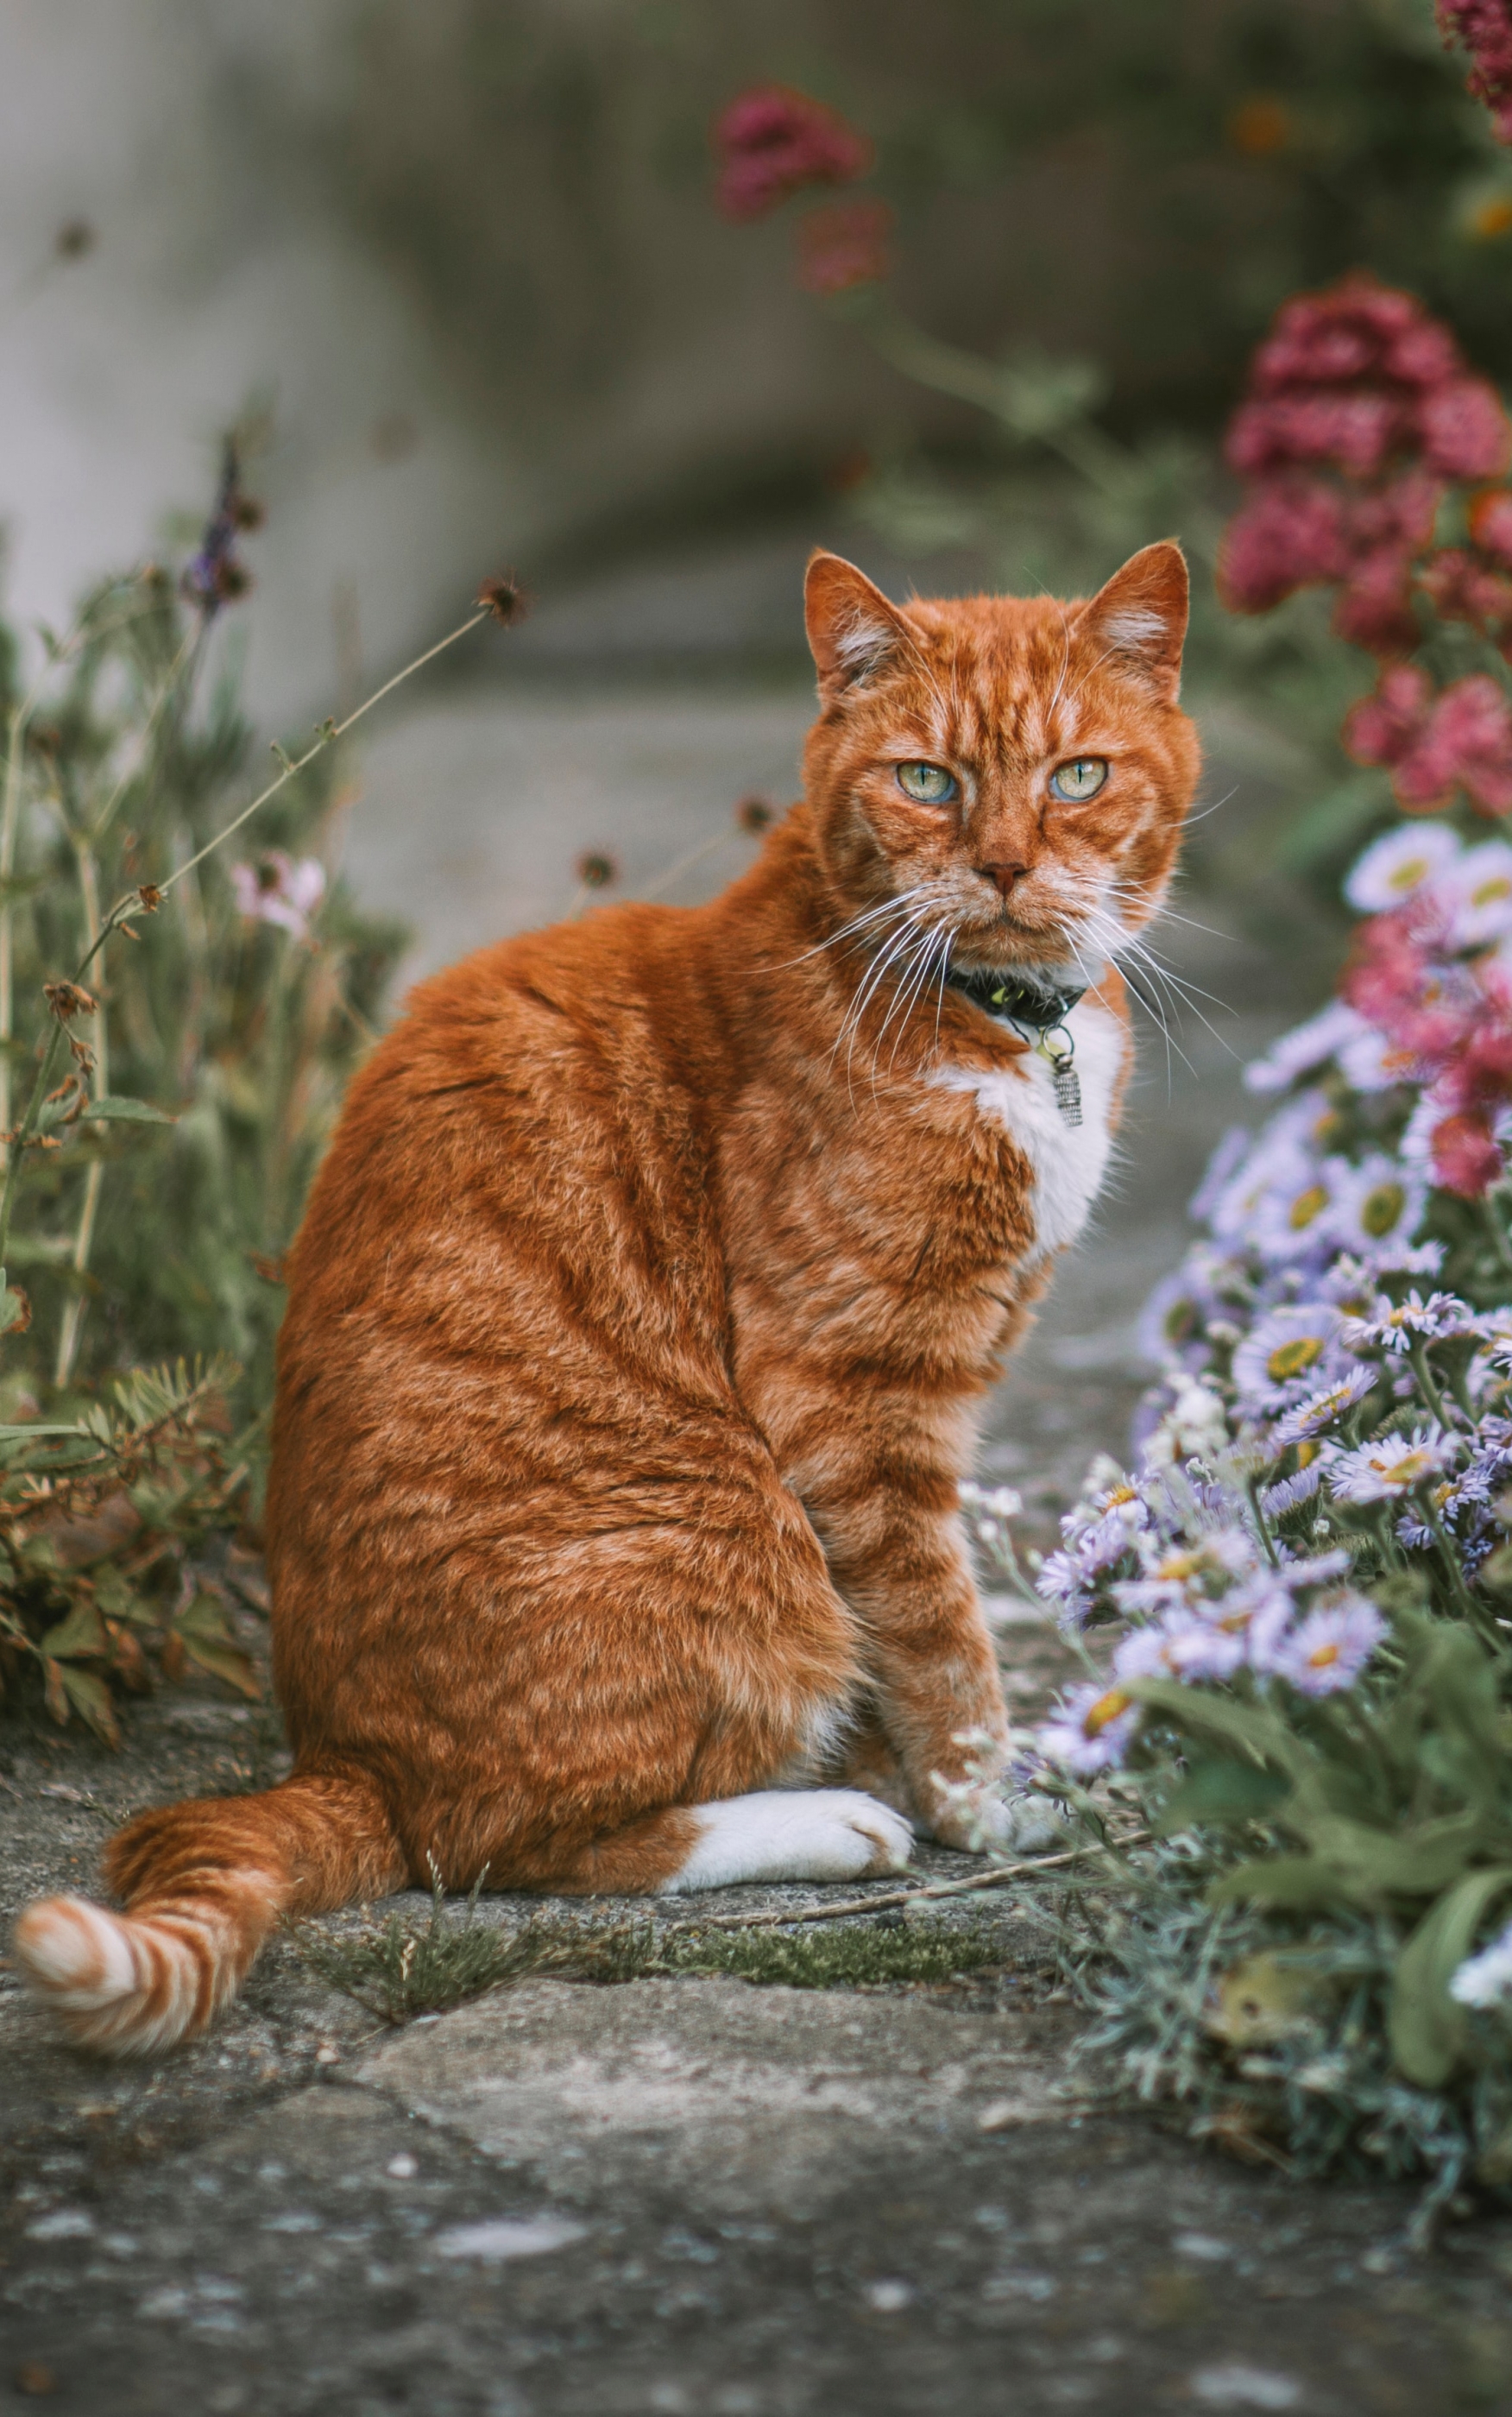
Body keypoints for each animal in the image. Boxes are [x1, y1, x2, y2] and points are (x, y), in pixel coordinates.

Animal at [11, 539, 1188, 2049]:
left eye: (1079, 775)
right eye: (927, 780)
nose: (1002, 863)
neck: (1007, 1026)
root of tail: (347, 1760)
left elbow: (902, 1655)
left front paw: (943, 1780)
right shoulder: (851, 1395)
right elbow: (940, 1634)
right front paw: (987, 1806)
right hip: (735, 1544)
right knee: (498, 1846)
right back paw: (825, 1823)